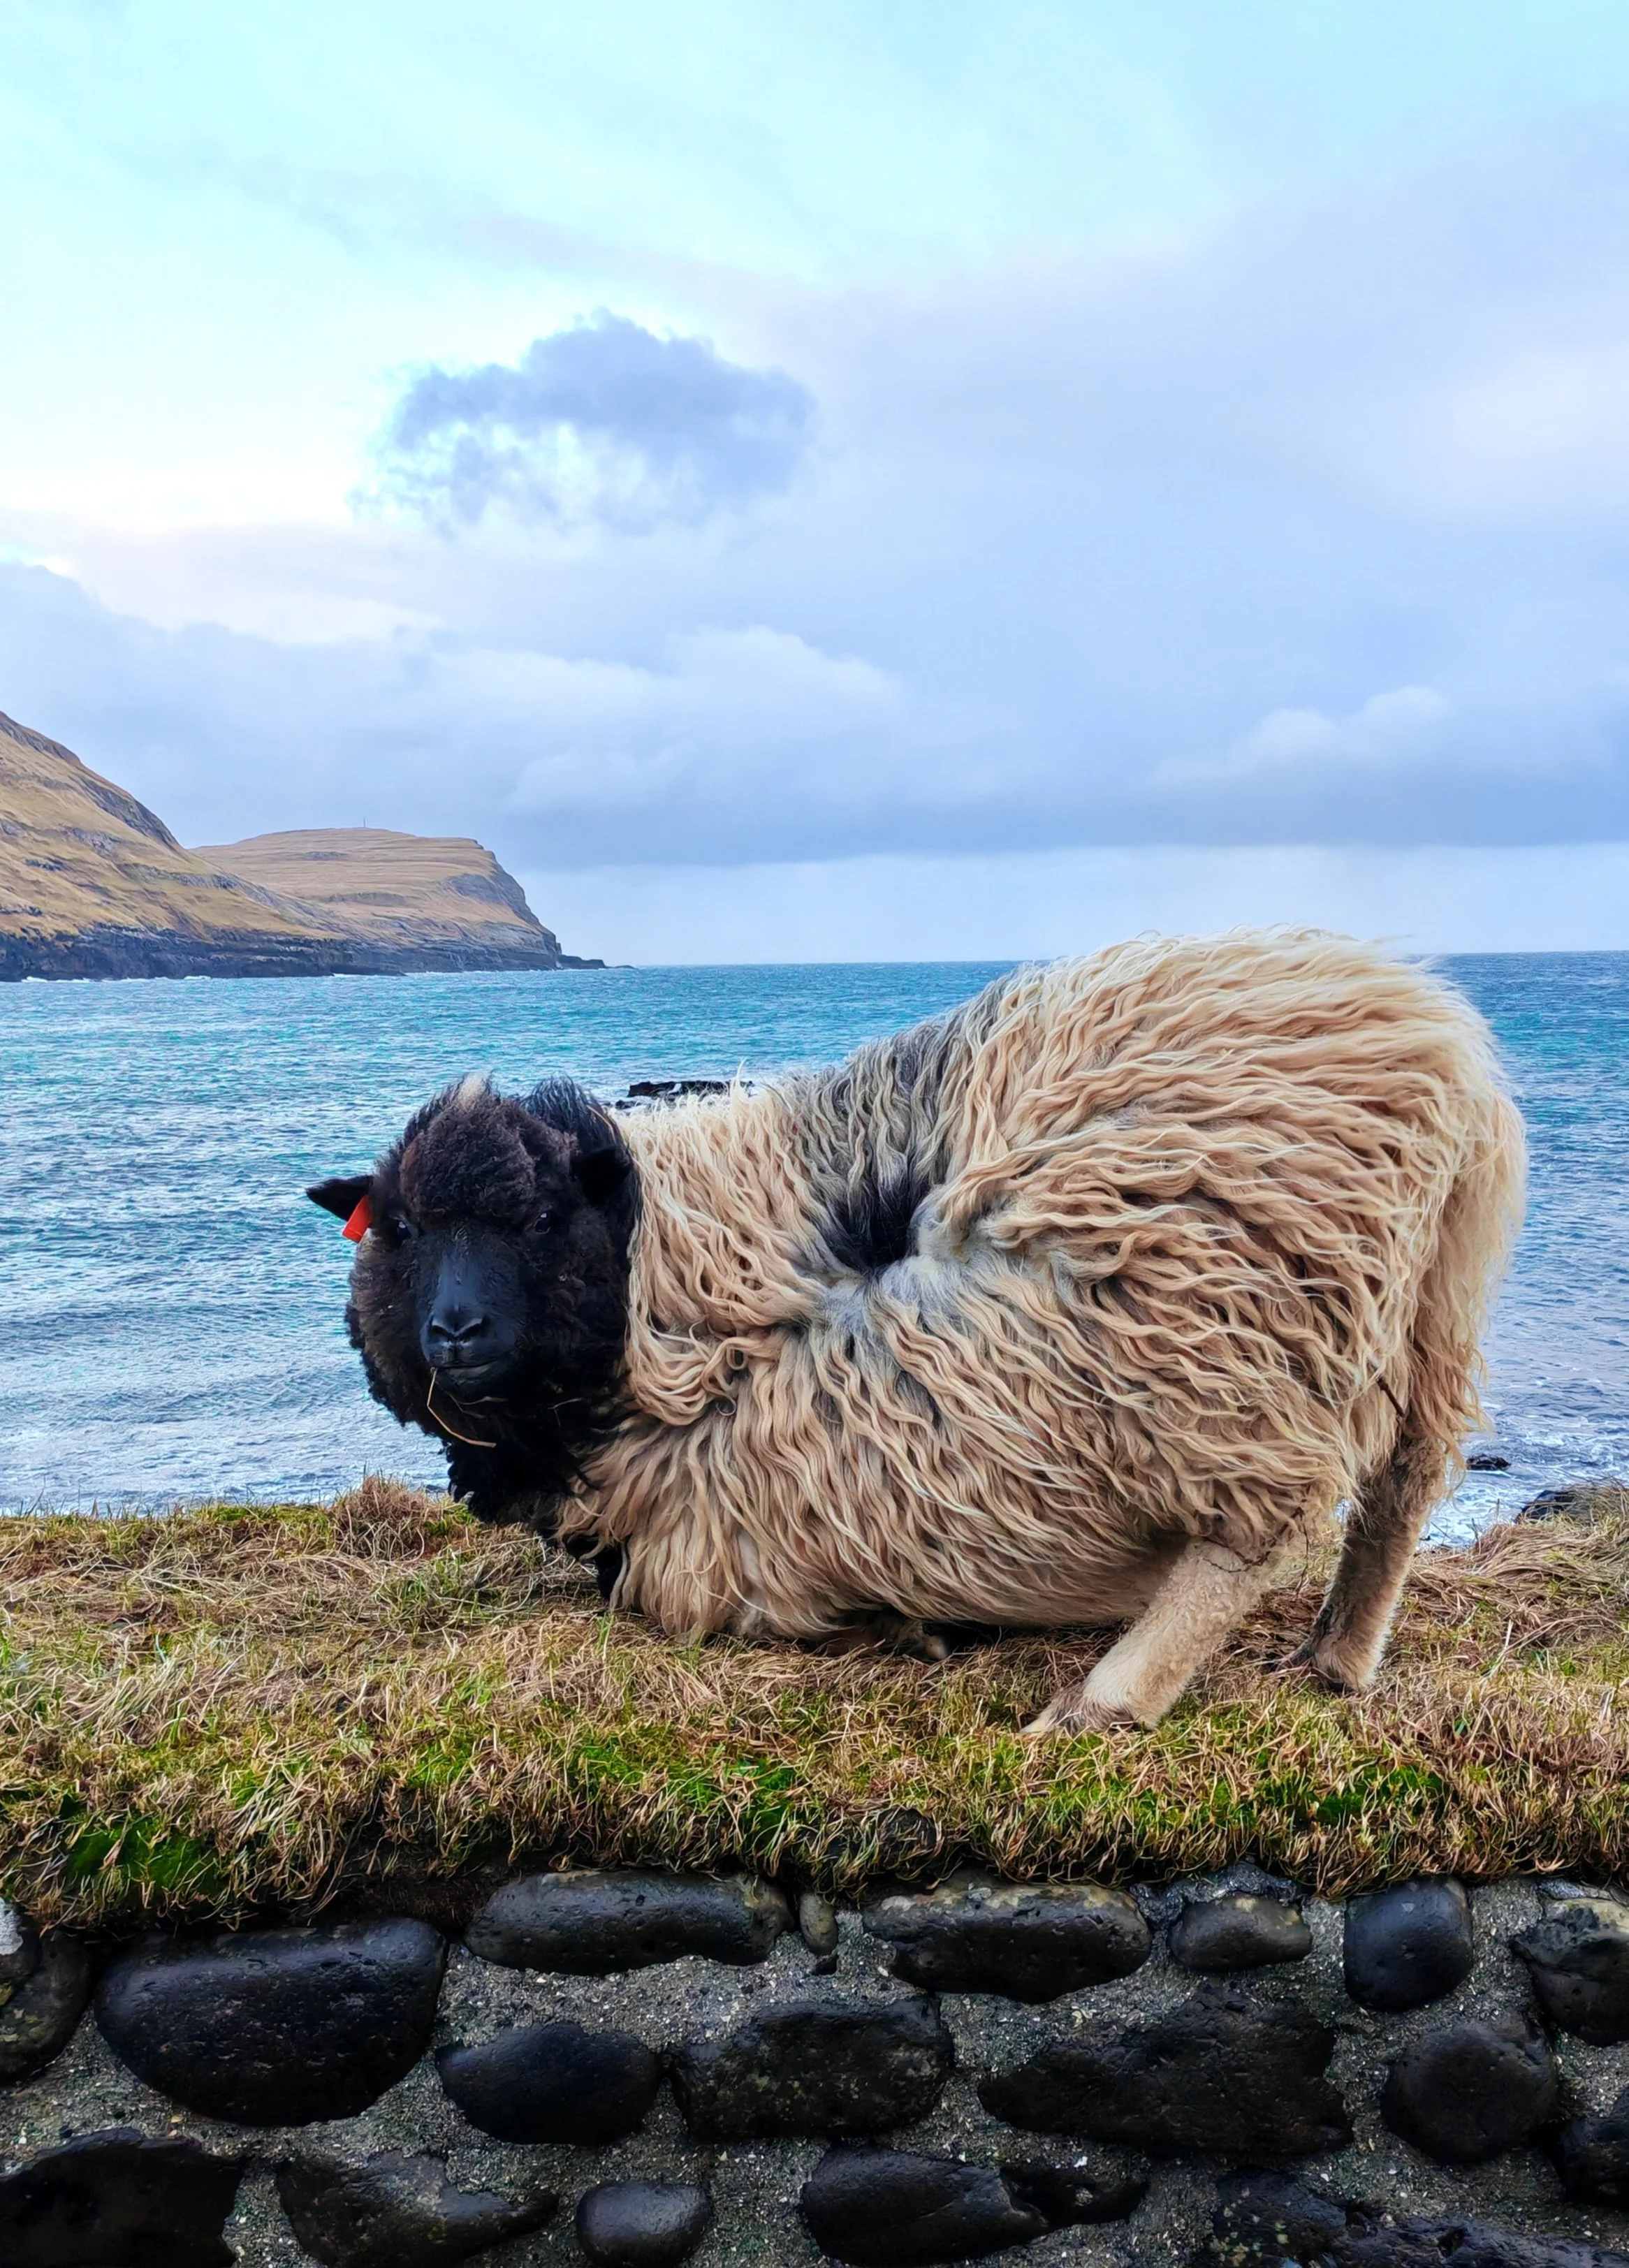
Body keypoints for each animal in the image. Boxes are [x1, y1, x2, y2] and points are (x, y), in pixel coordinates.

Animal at [309, 932, 1525, 1731]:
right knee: (1407, 1477)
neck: (652, 1278)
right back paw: (1338, 1657)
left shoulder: (745, 1496)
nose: (456, 1328)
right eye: (401, 1227)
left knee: (1262, 1532)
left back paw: (1109, 1701)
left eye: (540, 1218)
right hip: (1429, 1298)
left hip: (1212, 1332)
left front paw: (902, 1628)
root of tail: (1440, 1050)